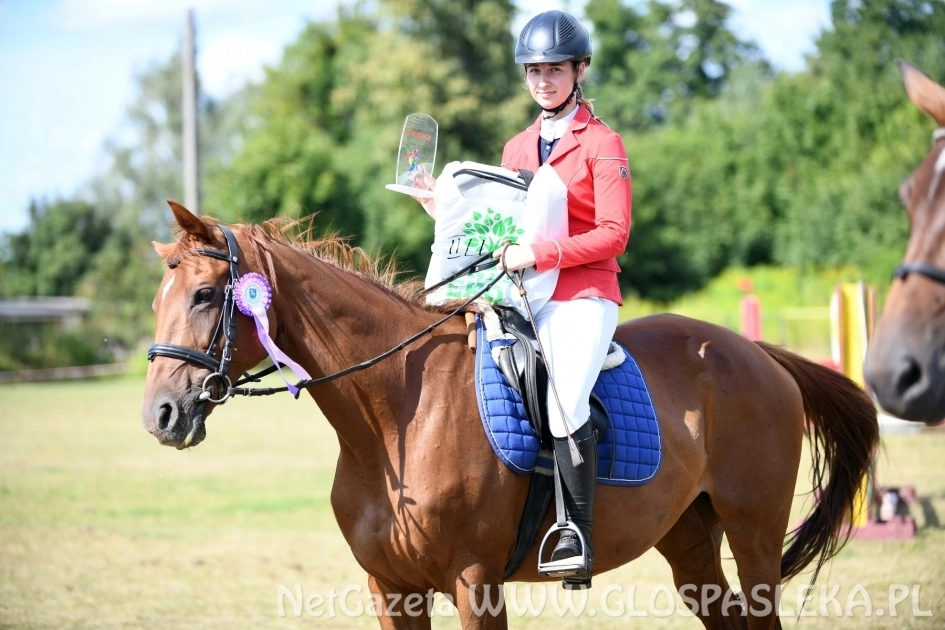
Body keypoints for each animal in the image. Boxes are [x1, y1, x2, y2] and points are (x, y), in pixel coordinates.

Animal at [142, 204, 876, 630]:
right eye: (157, 300)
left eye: (205, 295)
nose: (160, 415)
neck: (393, 420)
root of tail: (756, 352)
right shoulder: (392, 589)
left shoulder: (475, 584)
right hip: (690, 543)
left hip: (753, 537)